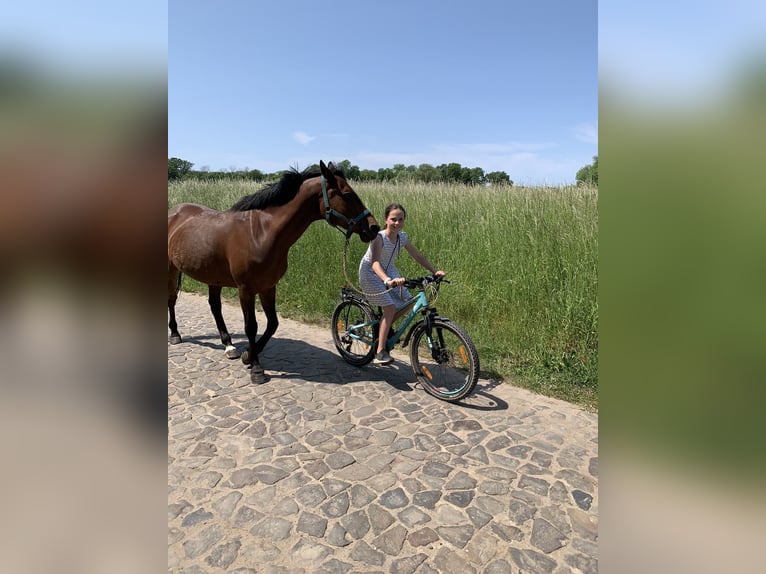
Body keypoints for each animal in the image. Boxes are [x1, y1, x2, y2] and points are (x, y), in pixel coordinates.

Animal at [170, 161, 380, 382]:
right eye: (347, 194)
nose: (374, 228)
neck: (261, 233)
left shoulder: (268, 287)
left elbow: (272, 323)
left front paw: (247, 355)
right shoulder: (246, 289)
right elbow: (251, 326)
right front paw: (256, 368)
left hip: (214, 277)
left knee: (214, 306)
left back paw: (229, 346)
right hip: (171, 269)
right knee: (171, 300)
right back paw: (175, 334)